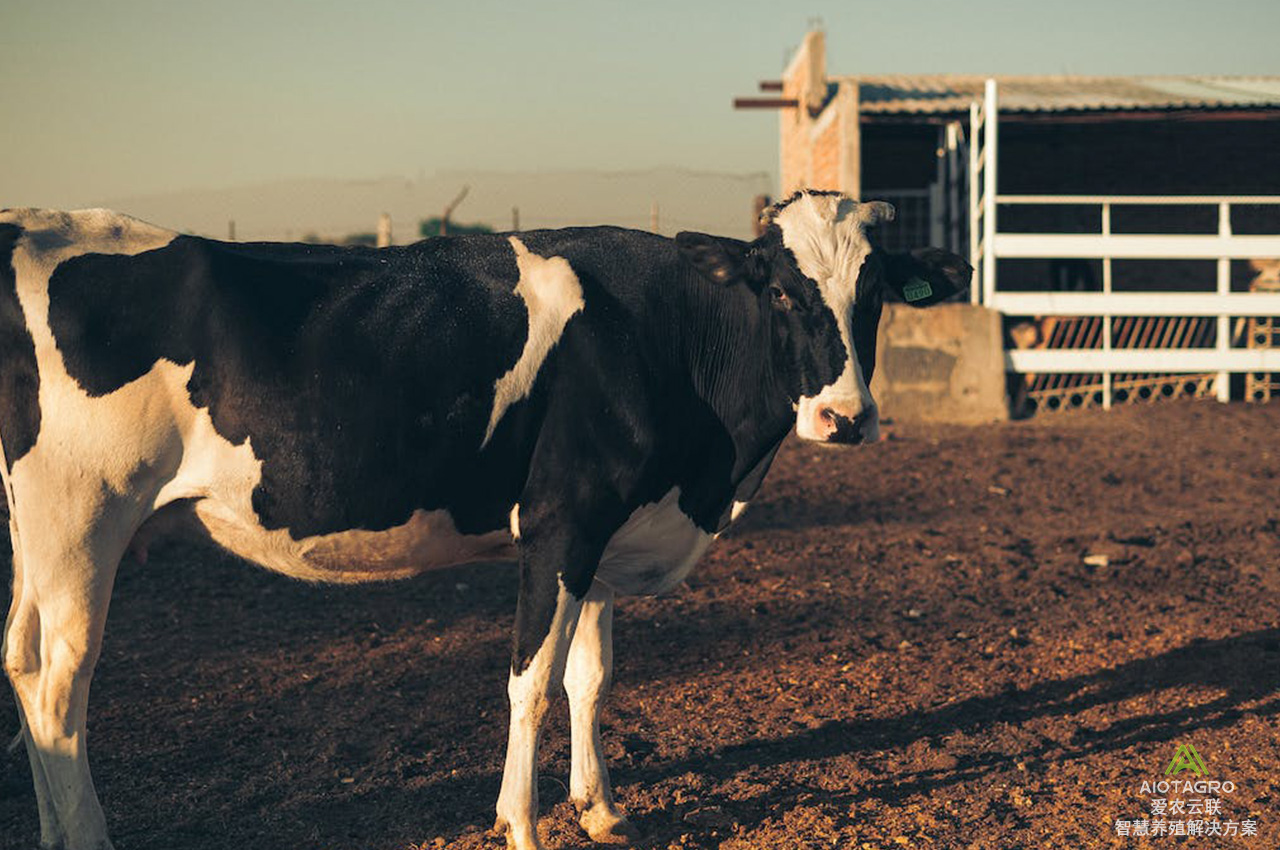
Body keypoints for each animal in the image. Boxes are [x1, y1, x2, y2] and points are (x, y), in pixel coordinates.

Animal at [0, 192, 962, 850]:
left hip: (39, 536)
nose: (846, 417)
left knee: (21, 661)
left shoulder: (606, 532)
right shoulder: (559, 523)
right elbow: (529, 683)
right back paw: (87, 835)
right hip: (82, 516)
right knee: (59, 686)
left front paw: (601, 808)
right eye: (782, 292)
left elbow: (590, 677)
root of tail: (36, 221)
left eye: (873, 292)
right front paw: (524, 826)